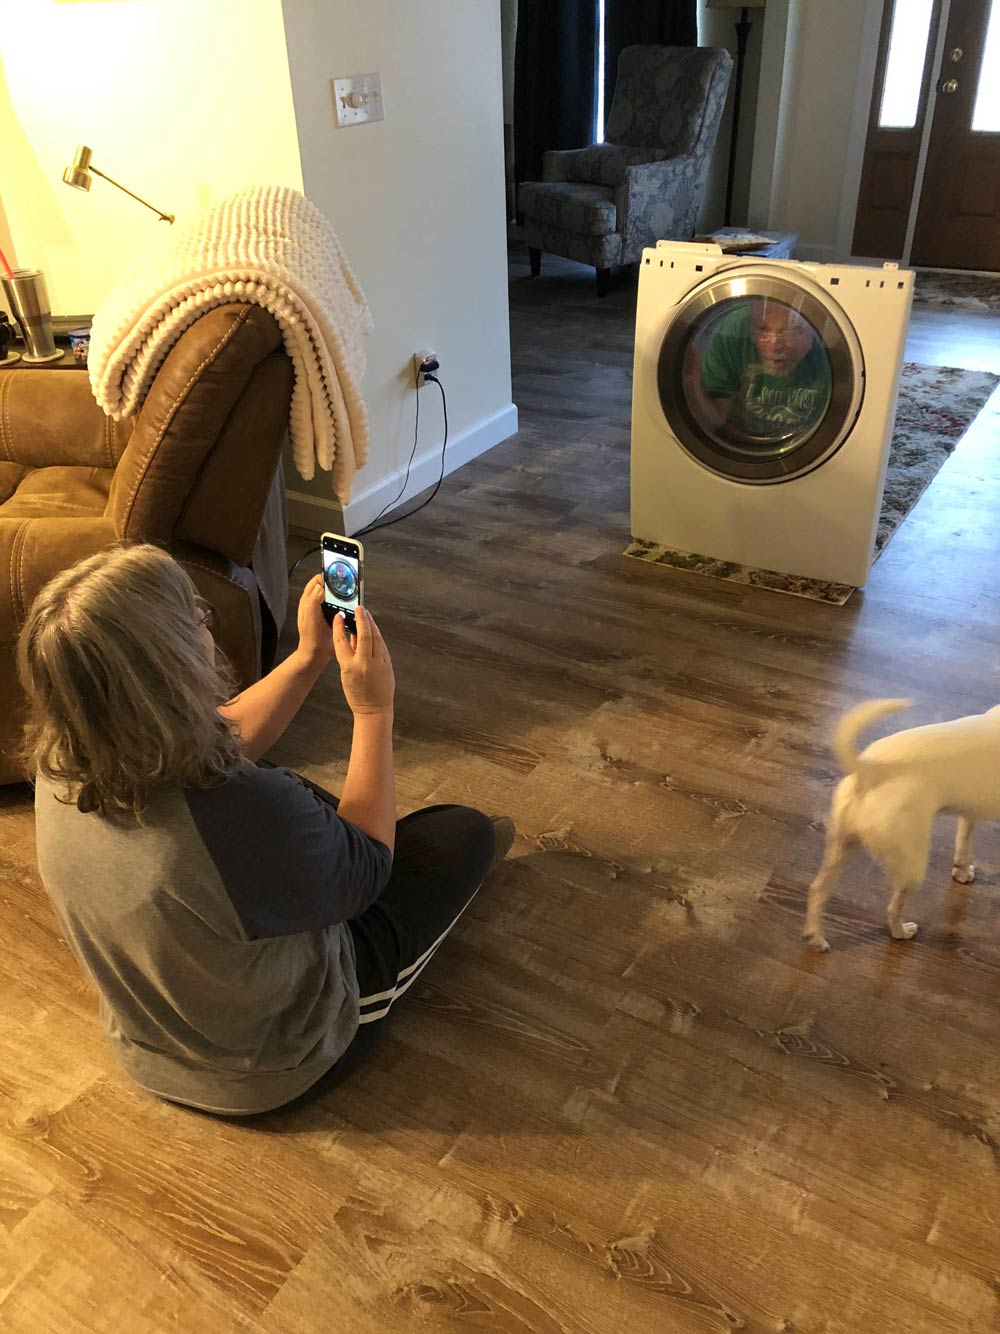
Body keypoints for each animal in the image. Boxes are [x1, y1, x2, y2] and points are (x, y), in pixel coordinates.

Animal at [805, 699, 1000, 949]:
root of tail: (870, 772)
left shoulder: (969, 811)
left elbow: (963, 844)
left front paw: (962, 872)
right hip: (913, 867)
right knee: (892, 908)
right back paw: (902, 931)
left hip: (841, 847)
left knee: (818, 889)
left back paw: (816, 938)